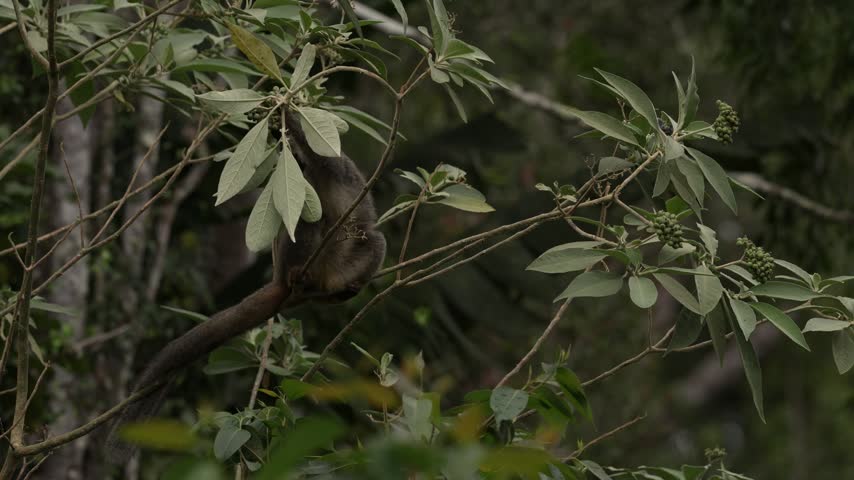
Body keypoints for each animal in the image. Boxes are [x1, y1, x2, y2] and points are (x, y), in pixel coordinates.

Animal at [104, 114, 386, 463]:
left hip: (334, 262)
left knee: (366, 236)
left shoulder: (329, 164)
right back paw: (303, 277)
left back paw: (336, 288)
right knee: (317, 220)